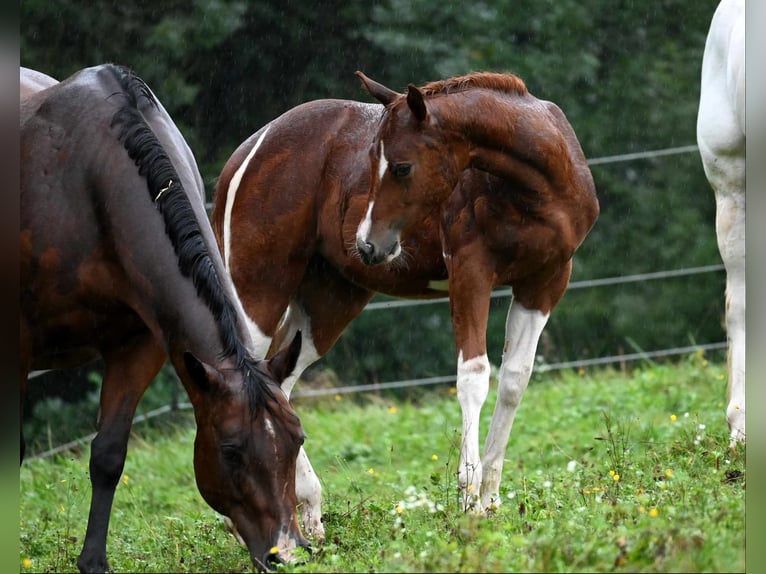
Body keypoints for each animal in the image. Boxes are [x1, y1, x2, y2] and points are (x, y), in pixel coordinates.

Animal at [20, 65, 308, 572]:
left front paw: (93, 561)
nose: (286, 552)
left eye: (298, 440)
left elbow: (108, 455)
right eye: (231, 450)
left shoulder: (139, 348)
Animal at [213, 71, 604, 536]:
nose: (367, 244)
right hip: (259, 289)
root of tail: (246, 154)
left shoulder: (545, 282)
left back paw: (308, 511)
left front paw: (490, 499)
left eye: (402, 166)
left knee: (280, 380)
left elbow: (515, 379)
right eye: (371, 161)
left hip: (333, 297)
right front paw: (468, 499)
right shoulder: (470, 274)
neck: (535, 187)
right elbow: (473, 376)